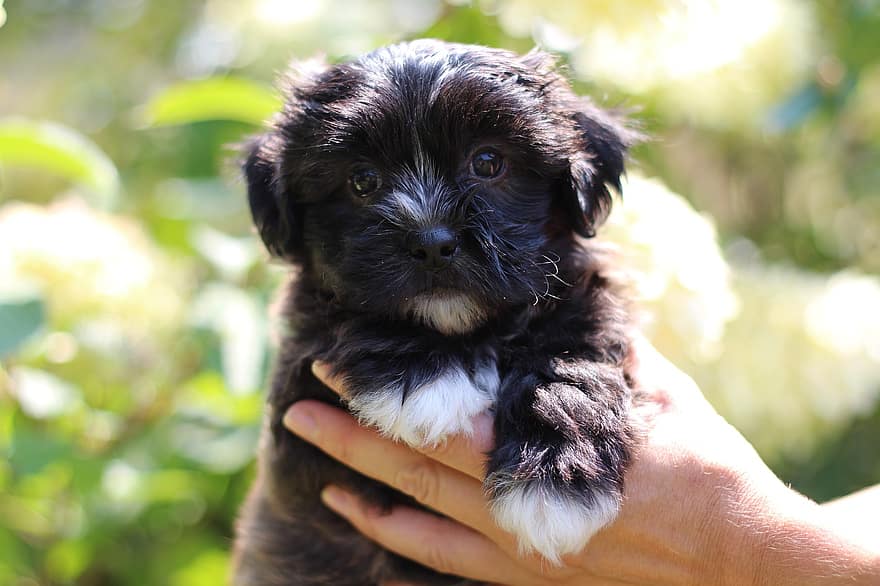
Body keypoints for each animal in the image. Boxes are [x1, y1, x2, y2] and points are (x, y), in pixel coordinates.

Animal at [235, 41, 640, 584]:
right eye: (362, 180)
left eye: (488, 162)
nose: (431, 242)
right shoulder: (300, 411)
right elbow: (343, 314)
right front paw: (429, 375)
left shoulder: (583, 297)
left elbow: (574, 358)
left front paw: (557, 478)